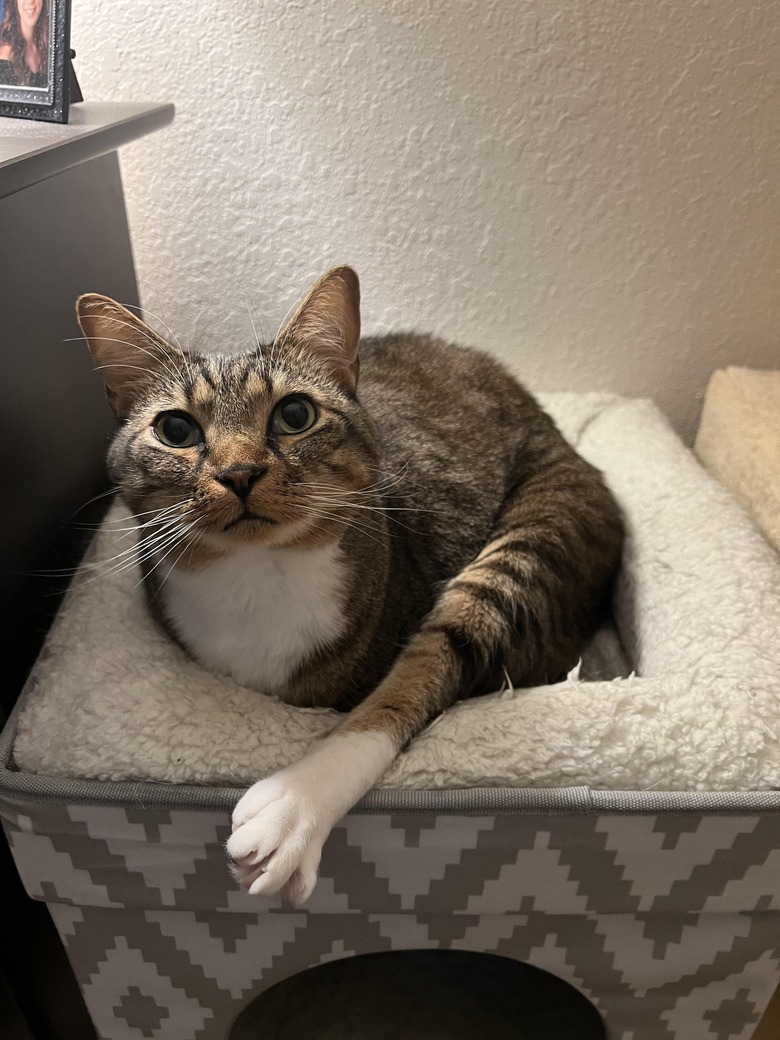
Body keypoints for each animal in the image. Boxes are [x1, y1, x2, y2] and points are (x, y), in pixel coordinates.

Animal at [76, 266, 628, 902]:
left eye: (294, 415)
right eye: (175, 428)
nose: (239, 473)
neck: (256, 575)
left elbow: (406, 683)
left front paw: (293, 807)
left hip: (539, 531)